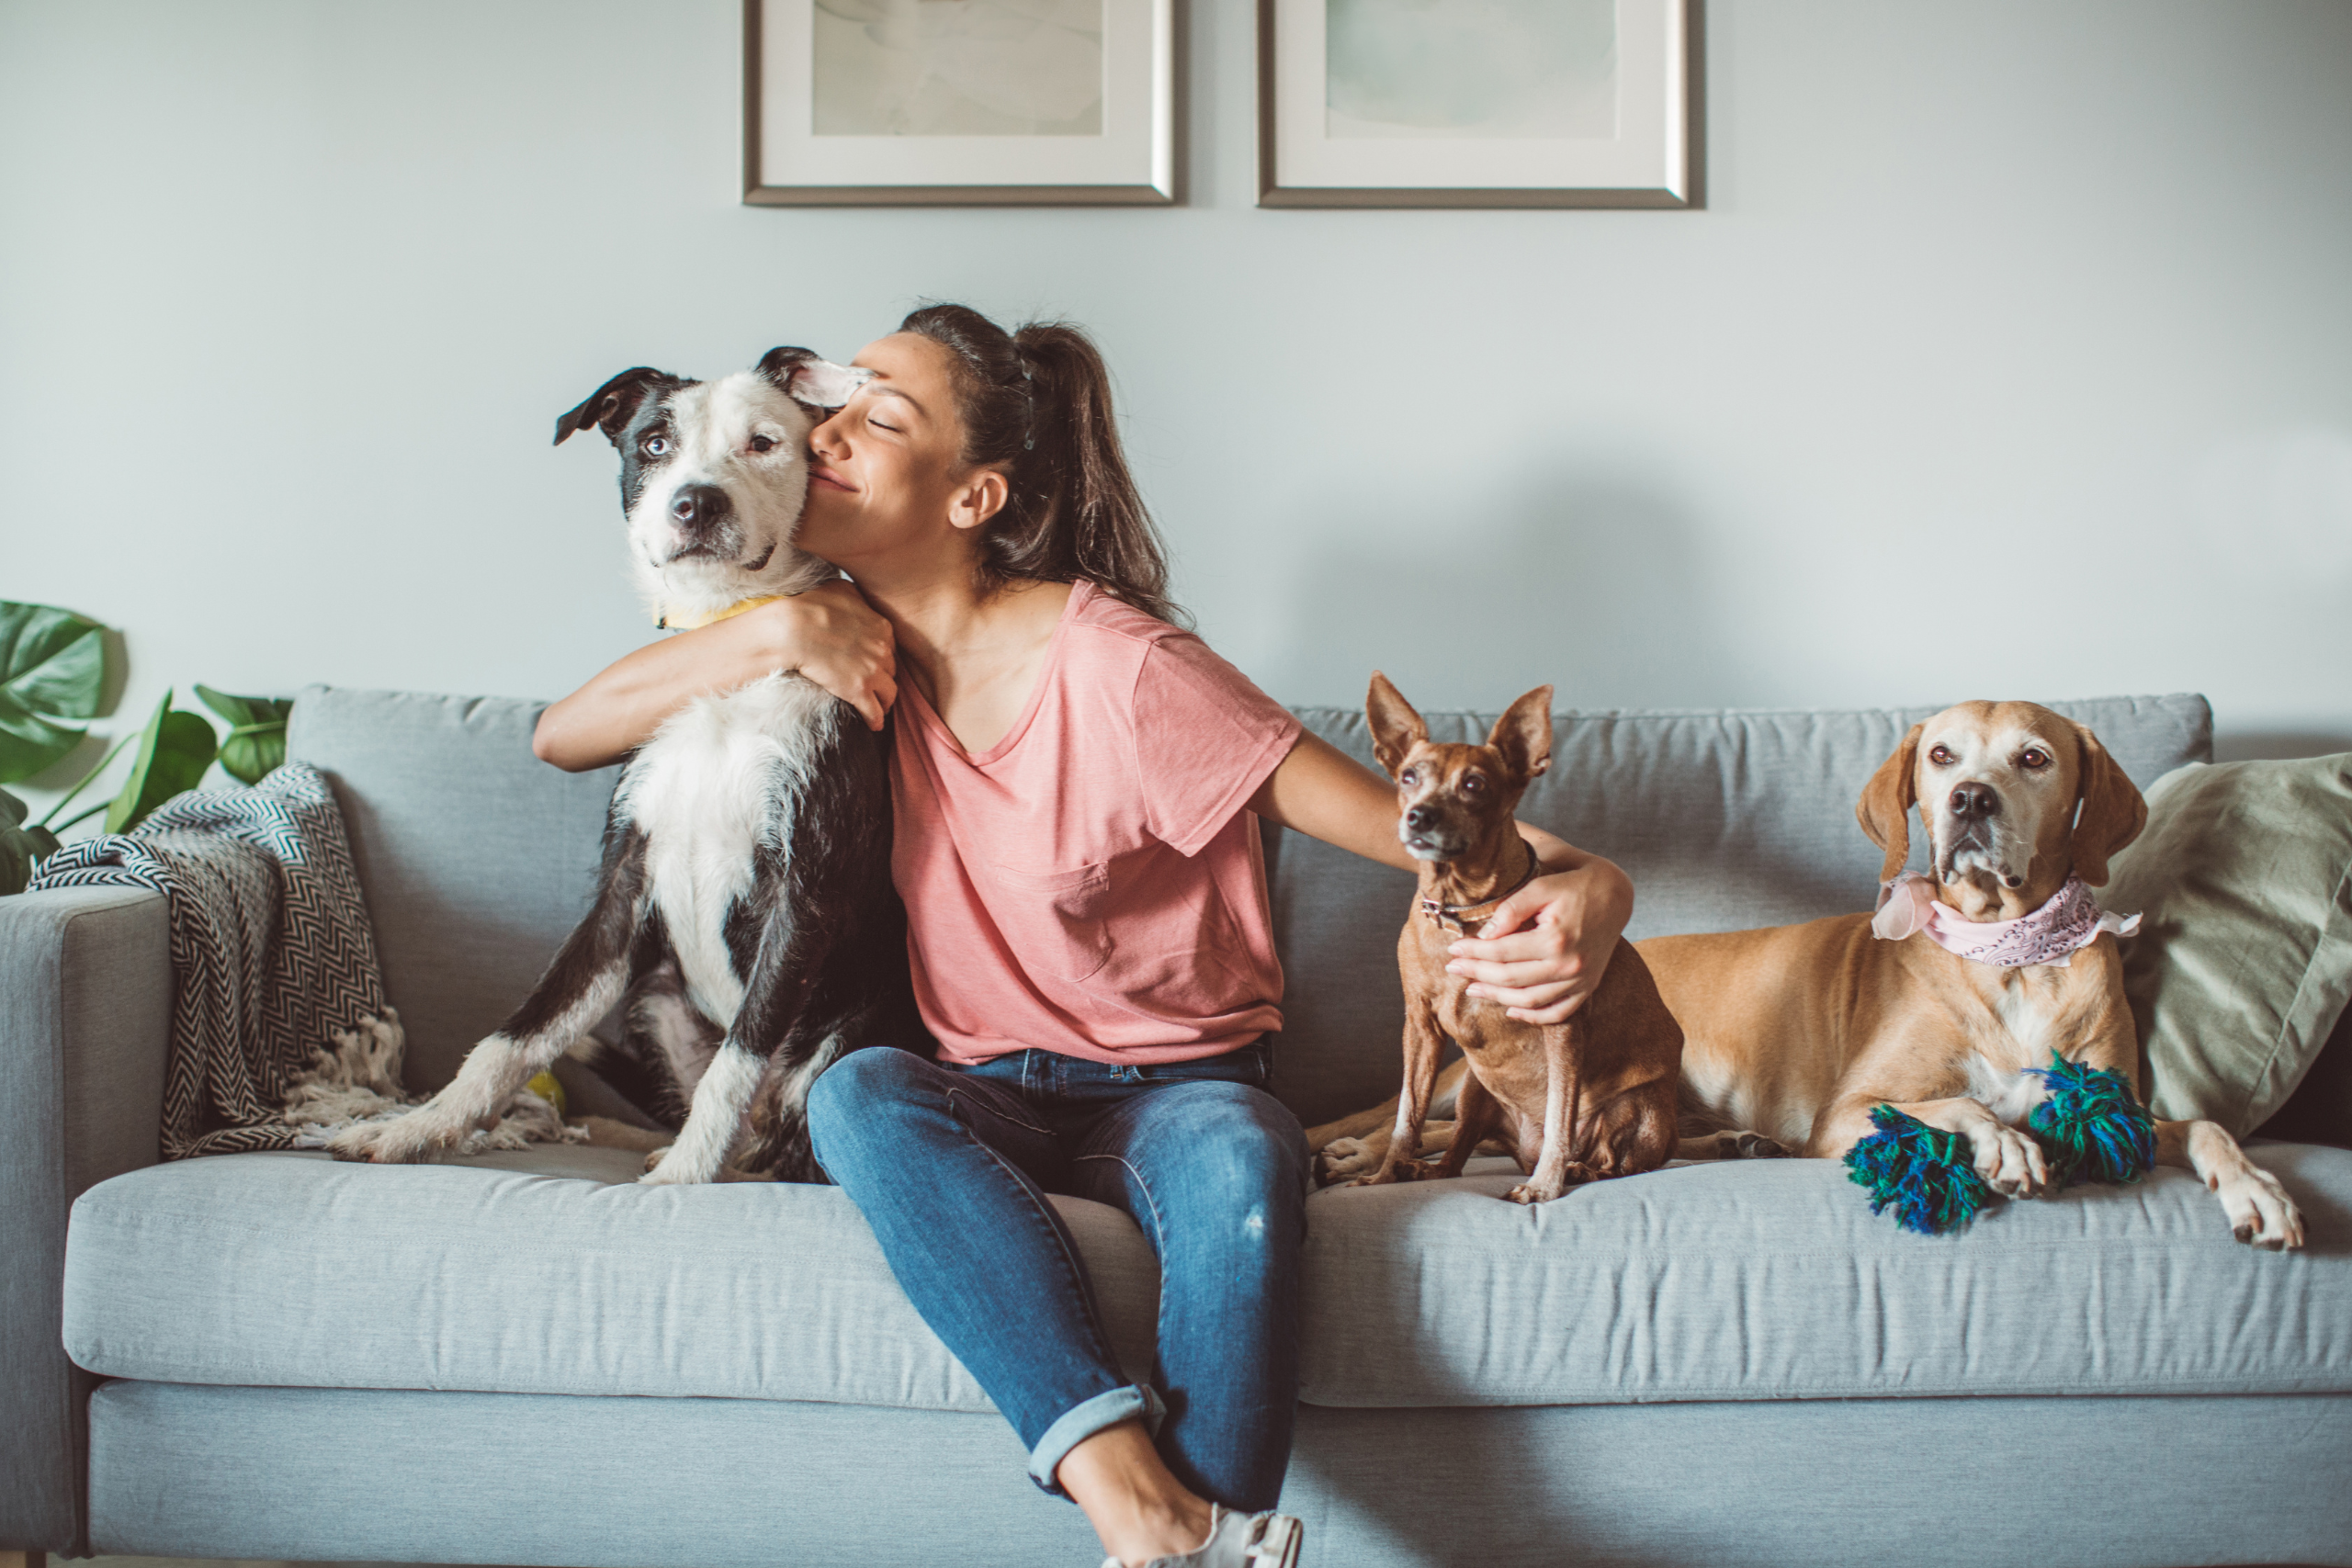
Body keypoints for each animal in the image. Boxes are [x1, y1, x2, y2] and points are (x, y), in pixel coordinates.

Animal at [331, 350, 908, 1184]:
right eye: (655, 443)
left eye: (764, 442)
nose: (695, 503)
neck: (726, 651)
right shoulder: (621, 887)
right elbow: (513, 1036)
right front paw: (417, 1126)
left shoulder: (806, 894)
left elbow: (739, 1056)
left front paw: (683, 1178)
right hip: (652, 996)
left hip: (847, 1029)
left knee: (795, 1150)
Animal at [1317, 705, 2304, 1259]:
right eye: (1942, 756)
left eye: (2034, 758)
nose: (1971, 801)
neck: (2007, 953)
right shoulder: (1850, 1111)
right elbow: (1958, 1104)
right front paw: (2005, 1144)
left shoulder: (2117, 1113)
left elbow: (2206, 1126)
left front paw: (2259, 1188)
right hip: (1472, 1076)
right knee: (1419, 1121)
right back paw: (1355, 1157)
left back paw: (1739, 1143)